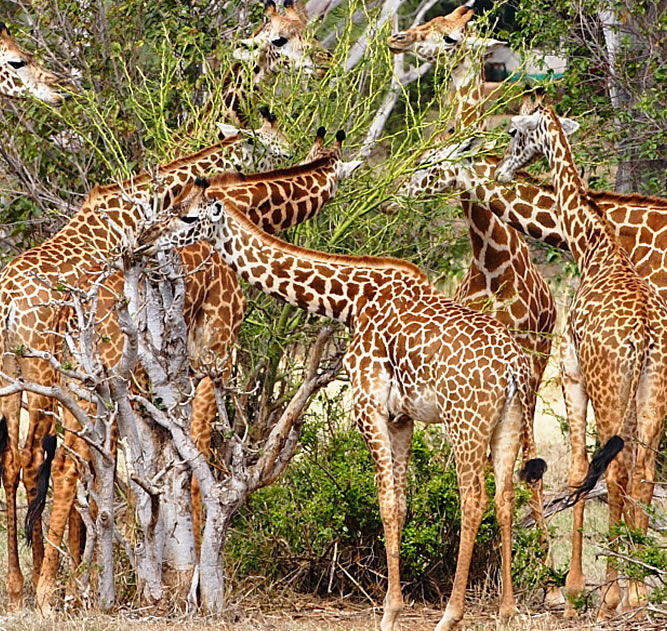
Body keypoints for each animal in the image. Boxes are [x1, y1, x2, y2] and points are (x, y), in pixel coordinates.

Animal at [0, 108, 291, 610]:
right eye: (269, 145)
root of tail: (7, 302)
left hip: (11, 373)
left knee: (11, 461)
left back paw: (22, 586)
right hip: (41, 371)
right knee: (37, 460)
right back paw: (42, 585)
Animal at [33, 129, 361, 615]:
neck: (243, 207)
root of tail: (67, 312)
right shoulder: (214, 350)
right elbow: (198, 451)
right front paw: (197, 581)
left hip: (79, 375)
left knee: (66, 464)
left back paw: (72, 586)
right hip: (101, 375)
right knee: (69, 466)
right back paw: (50, 593)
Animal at [137, 179, 547, 631]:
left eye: (187, 216)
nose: (145, 238)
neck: (351, 299)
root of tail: (513, 367)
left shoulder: (368, 404)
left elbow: (386, 503)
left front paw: (390, 612)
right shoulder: (401, 417)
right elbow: (401, 503)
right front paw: (394, 606)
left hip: (465, 420)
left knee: (472, 499)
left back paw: (451, 615)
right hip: (510, 419)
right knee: (505, 498)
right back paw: (507, 610)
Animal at [495, 103, 667, 619]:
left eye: (514, 133)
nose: (503, 169)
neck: (593, 243)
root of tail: (645, 334)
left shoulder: (572, 372)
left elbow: (577, 472)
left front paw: (573, 593)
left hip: (610, 383)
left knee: (613, 473)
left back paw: (610, 596)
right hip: (652, 386)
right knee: (643, 472)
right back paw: (637, 591)